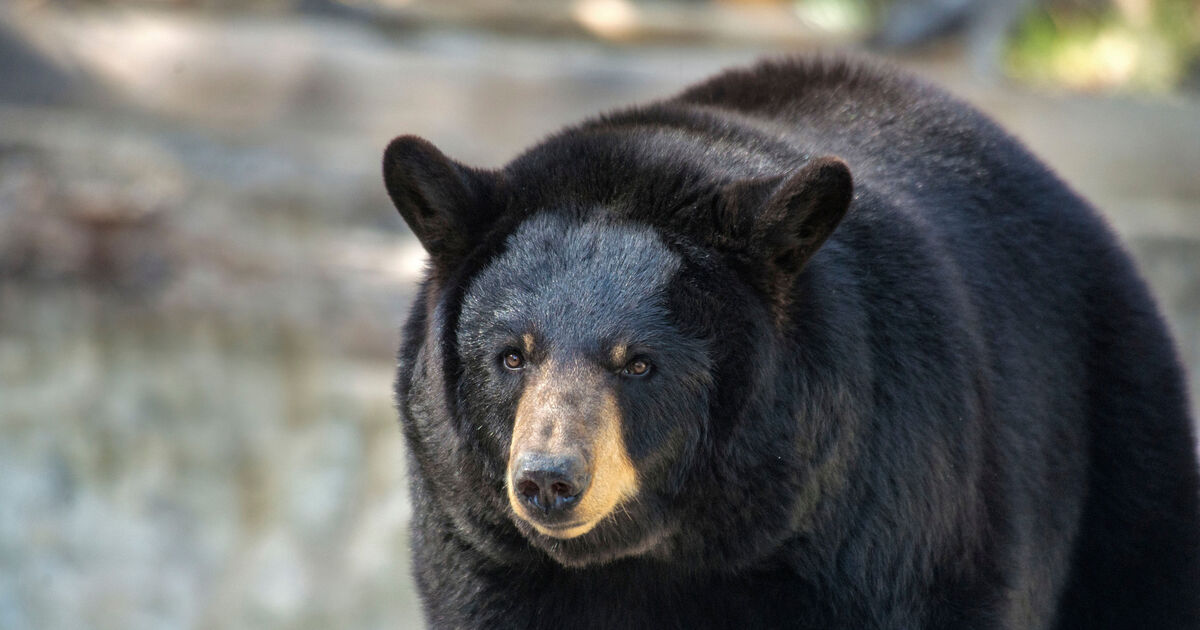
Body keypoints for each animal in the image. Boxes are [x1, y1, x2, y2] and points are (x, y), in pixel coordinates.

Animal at [382, 57, 1200, 629]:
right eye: (511, 356)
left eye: (640, 364)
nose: (549, 480)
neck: (661, 553)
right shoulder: (482, 552)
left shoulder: (887, 524)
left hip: (1117, 437)